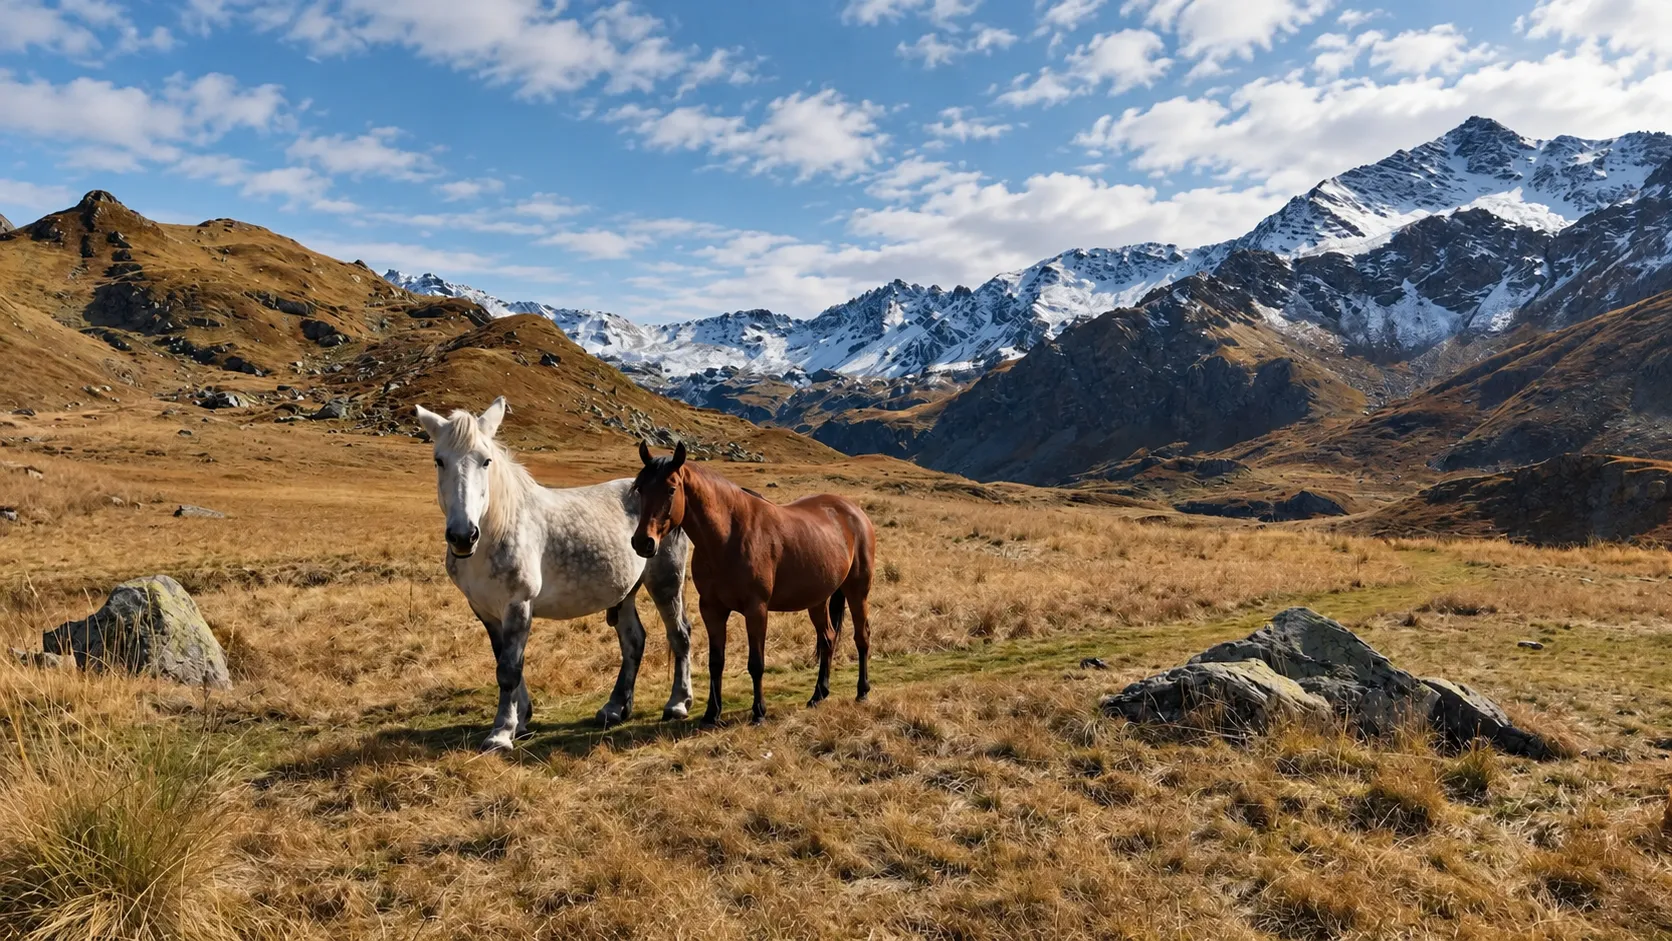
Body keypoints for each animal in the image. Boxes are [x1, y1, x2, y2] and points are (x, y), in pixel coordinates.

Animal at [414, 398, 696, 751]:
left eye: (486, 461)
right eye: (439, 461)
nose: (463, 536)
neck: (499, 529)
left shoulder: (518, 604)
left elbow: (509, 668)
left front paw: (502, 732)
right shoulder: (485, 610)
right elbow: (503, 661)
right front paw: (521, 719)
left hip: (666, 583)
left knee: (679, 635)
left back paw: (678, 703)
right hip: (625, 593)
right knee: (634, 642)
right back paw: (614, 707)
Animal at [629, 441, 876, 726]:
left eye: (671, 489)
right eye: (640, 489)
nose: (642, 542)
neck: (728, 537)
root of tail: (854, 511)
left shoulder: (756, 609)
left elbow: (756, 663)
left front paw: (759, 712)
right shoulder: (711, 609)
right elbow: (716, 662)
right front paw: (712, 713)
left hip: (857, 592)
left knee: (861, 637)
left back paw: (862, 691)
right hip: (818, 600)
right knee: (827, 639)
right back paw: (818, 695)